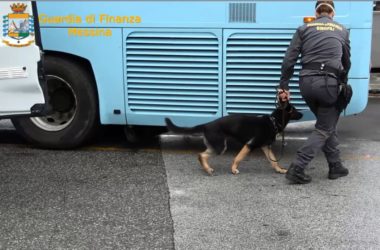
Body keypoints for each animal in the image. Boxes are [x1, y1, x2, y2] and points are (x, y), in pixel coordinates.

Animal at [166, 102, 302, 176]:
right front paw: (233, 169)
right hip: (220, 147)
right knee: (201, 155)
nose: (302, 114)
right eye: (294, 109)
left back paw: (207, 168)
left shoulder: (265, 147)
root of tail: (206, 125)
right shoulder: (250, 145)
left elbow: (274, 161)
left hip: (217, 145)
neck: (273, 121)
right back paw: (208, 169)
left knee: (201, 155)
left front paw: (279, 169)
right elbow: (238, 158)